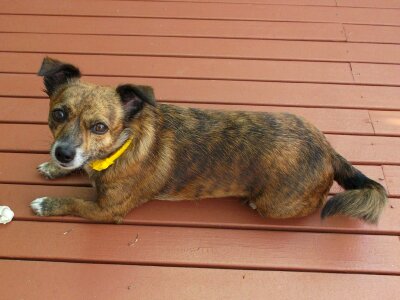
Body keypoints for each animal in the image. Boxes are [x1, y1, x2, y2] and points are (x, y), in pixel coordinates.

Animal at [30, 57, 388, 224]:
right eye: (58, 114)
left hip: (276, 204)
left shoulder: (107, 211)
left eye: (100, 127)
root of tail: (328, 149)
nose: (62, 153)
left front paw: (47, 203)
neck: (121, 146)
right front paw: (54, 167)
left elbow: (74, 203)